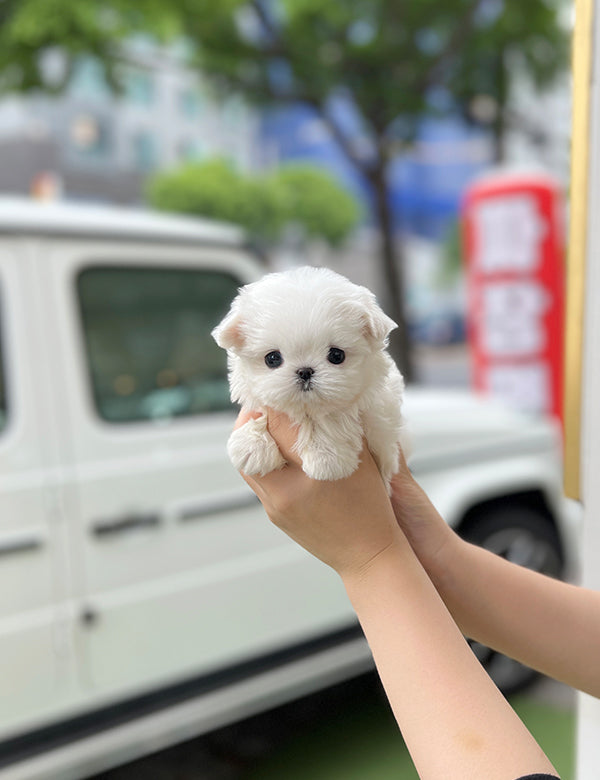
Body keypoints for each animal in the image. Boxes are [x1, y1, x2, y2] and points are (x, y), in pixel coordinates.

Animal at [211, 266, 404, 490]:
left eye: (336, 355)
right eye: (272, 358)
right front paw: (251, 446)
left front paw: (327, 459)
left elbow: (332, 416)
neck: (304, 410)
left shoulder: (379, 409)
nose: (305, 371)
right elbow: (260, 413)